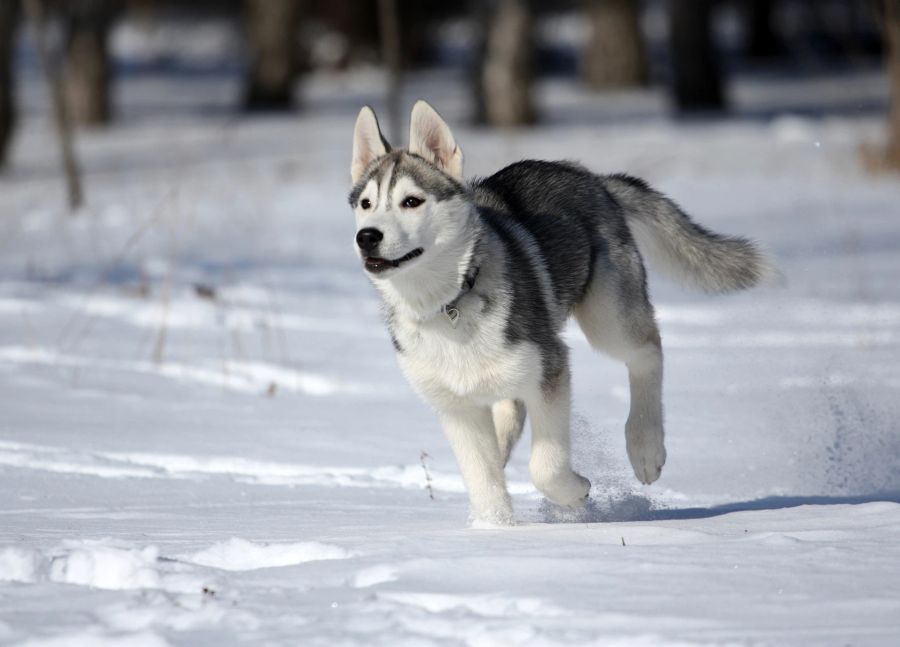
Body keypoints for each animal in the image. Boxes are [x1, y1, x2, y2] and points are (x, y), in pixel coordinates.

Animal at [348, 102, 768, 528]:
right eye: (366, 204)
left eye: (411, 201)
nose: (367, 237)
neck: (449, 301)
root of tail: (588, 176)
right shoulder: (455, 406)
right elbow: (483, 477)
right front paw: (492, 528)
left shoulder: (550, 369)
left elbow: (545, 469)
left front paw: (577, 494)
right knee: (508, 416)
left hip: (607, 316)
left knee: (648, 351)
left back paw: (645, 446)